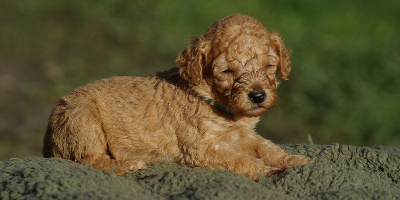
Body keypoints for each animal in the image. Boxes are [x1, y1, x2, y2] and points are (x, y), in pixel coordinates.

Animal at [43, 13, 312, 180]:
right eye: (227, 71)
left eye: (269, 67)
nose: (257, 95)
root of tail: (48, 141)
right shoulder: (201, 149)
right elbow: (241, 161)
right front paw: (267, 171)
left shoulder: (242, 135)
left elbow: (267, 147)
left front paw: (294, 160)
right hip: (82, 119)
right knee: (90, 160)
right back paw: (130, 164)